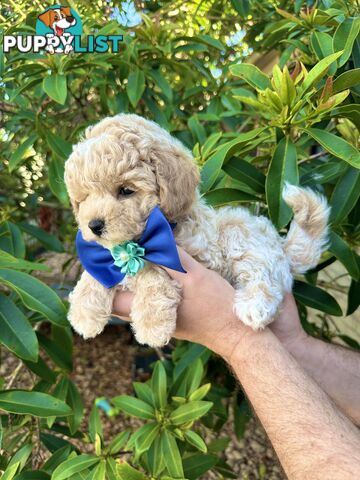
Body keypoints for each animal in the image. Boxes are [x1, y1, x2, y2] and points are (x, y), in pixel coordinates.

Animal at [64, 114, 330, 346]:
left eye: (126, 191)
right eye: (84, 198)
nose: (94, 225)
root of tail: (282, 247)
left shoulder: (198, 255)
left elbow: (152, 272)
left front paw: (152, 324)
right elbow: (96, 273)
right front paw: (84, 311)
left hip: (241, 235)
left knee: (262, 277)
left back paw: (253, 307)